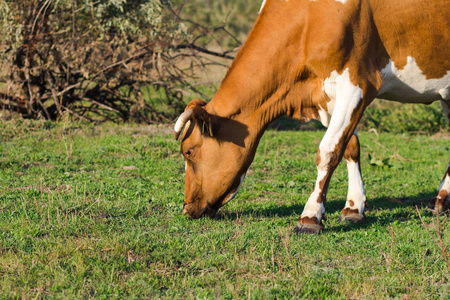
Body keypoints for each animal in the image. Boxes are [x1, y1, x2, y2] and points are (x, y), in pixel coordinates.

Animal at [173, 0, 450, 233]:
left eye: (189, 151)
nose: (186, 209)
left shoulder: (358, 84)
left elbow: (328, 151)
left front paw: (310, 217)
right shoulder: (326, 94)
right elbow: (350, 146)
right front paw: (353, 208)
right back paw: (440, 201)